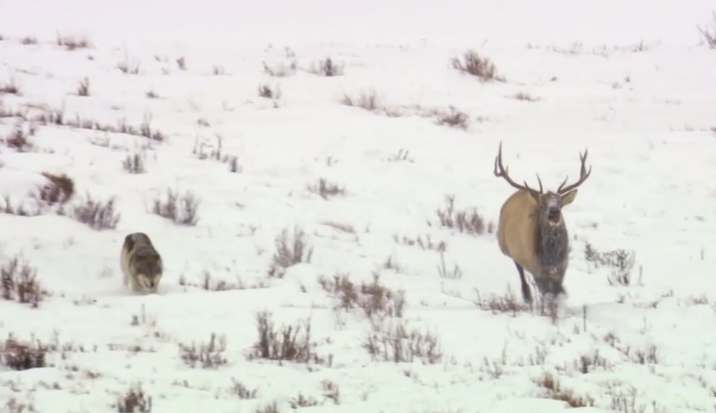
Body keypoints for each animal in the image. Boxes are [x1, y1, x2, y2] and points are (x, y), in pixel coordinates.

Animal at [492, 142, 592, 302]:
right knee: (520, 272)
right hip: (508, 249)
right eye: (542, 205)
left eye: (560, 204)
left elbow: (559, 292)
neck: (551, 258)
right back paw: (527, 297)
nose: (554, 211)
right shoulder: (537, 270)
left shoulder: (562, 268)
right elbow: (548, 295)